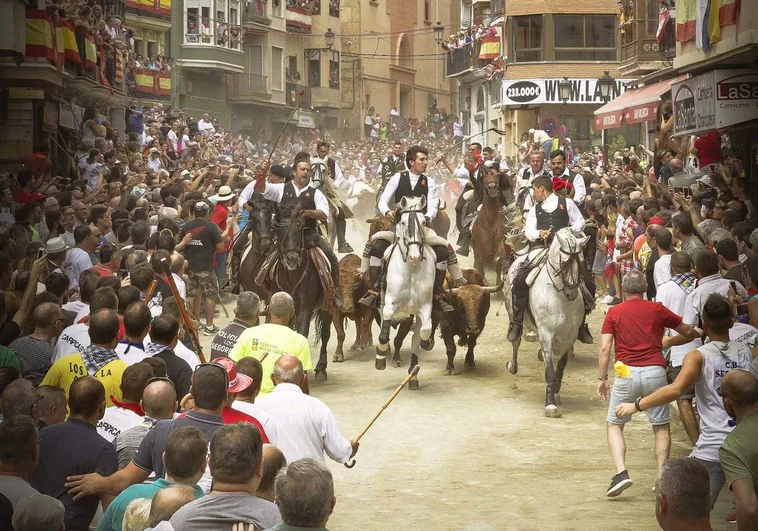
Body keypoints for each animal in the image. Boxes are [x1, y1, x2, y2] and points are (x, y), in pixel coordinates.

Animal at [376, 193, 436, 388]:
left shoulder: (425, 307)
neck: (411, 269)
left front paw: (426, 343)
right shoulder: (389, 302)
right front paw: (380, 356)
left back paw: (413, 376)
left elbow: (424, 331)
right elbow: (385, 326)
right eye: (402, 222)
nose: (415, 256)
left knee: (416, 335)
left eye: (423, 222)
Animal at [508, 227, 592, 418]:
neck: (560, 297)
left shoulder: (570, 335)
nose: (572, 293)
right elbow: (550, 371)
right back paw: (513, 366)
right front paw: (550, 404)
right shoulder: (546, 333)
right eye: (564, 262)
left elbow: (561, 365)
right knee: (516, 341)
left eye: (581, 261)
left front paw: (556, 389)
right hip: (512, 314)